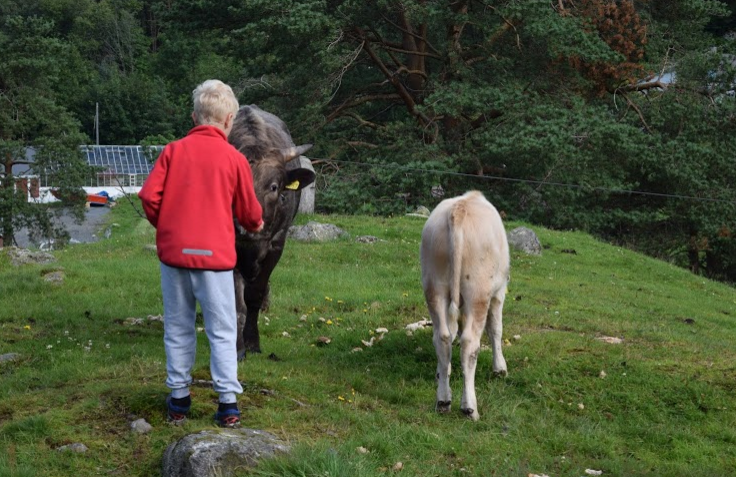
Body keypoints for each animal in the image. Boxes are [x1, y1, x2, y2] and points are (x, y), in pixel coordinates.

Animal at [227, 105, 314, 356]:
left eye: (274, 187)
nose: (247, 225)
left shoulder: (276, 244)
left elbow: (254, 294)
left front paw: (252, 341)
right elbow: (236, 300)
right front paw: (237, 347)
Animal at [422, 190, 508, 420]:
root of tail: (459, 209)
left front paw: (442, 371)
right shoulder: (499, 293)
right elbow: (496, 328)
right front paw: (500, 368)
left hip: (434, 286)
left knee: (442, 337)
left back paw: (443, 400)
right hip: (477, 291)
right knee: (470, 343)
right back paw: (469, 407)